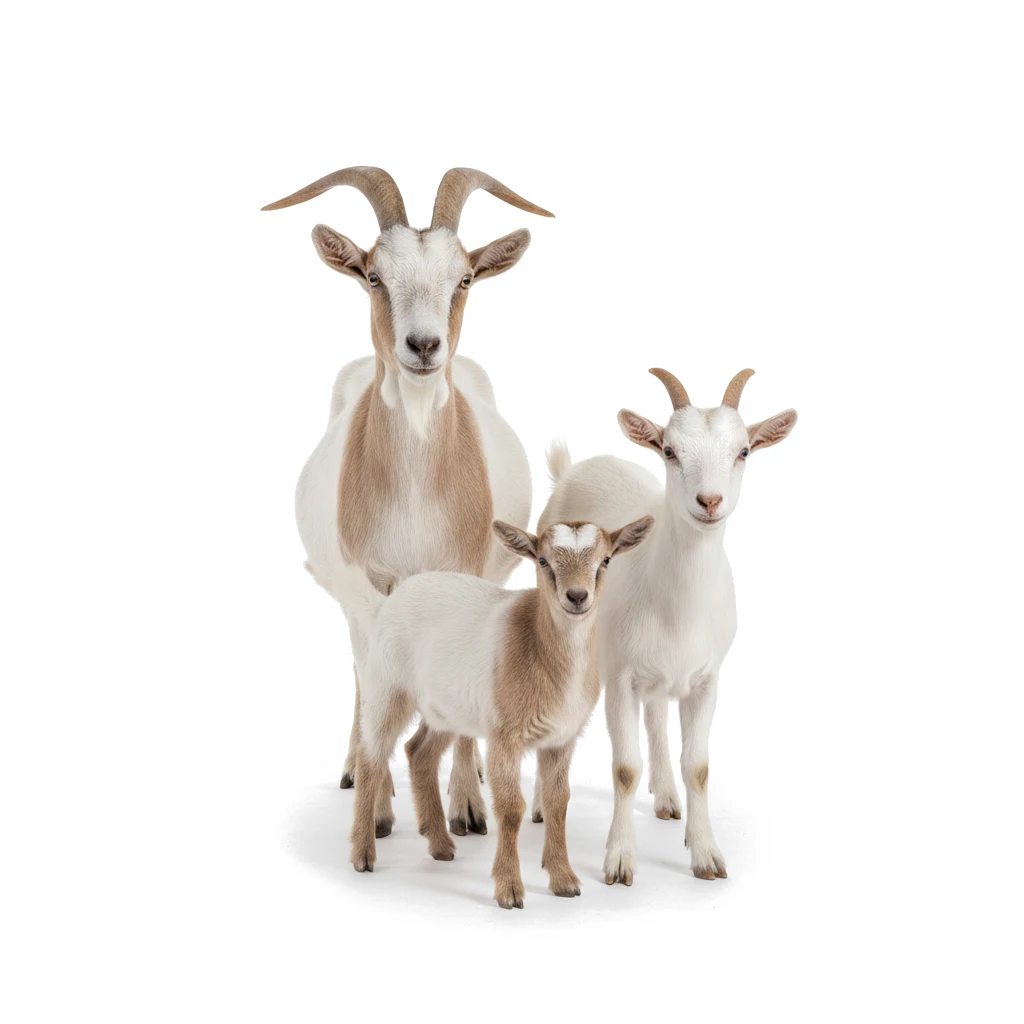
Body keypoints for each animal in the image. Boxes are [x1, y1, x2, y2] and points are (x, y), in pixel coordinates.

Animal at [263, 167, 552, 835]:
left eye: (464, 278)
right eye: (374, 276)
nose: (423, 346)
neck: (417, 495)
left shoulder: (465, 576)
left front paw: (468, 804)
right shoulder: (372, 591)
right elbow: (377, 688)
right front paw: (379, 808)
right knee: (363, 677)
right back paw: (357, 774)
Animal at [336, 517, 654, 908]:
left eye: (606, 560)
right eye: (543, 561)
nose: (577, 596)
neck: (539, 645)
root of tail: (390, 601)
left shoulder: (562, 739)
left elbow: (558, 803)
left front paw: (564, 881)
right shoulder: (505, 736)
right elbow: (511, 808)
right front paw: (510, 890)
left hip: (446, 708)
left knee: (418, 751)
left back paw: (440, 845)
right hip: (388, 687)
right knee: (371, 758)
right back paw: (363, 854)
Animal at [534, 369, 797, 884]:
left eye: (744, 451)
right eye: (669, 450)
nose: (709, 501)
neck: (677, 607)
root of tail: (574, 467)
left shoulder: (706, 679)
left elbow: (698, 767)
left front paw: (706, 853)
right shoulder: (618, 677)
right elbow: (624, 768)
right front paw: (619, 859)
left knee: (656, 715)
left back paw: (668, 798)